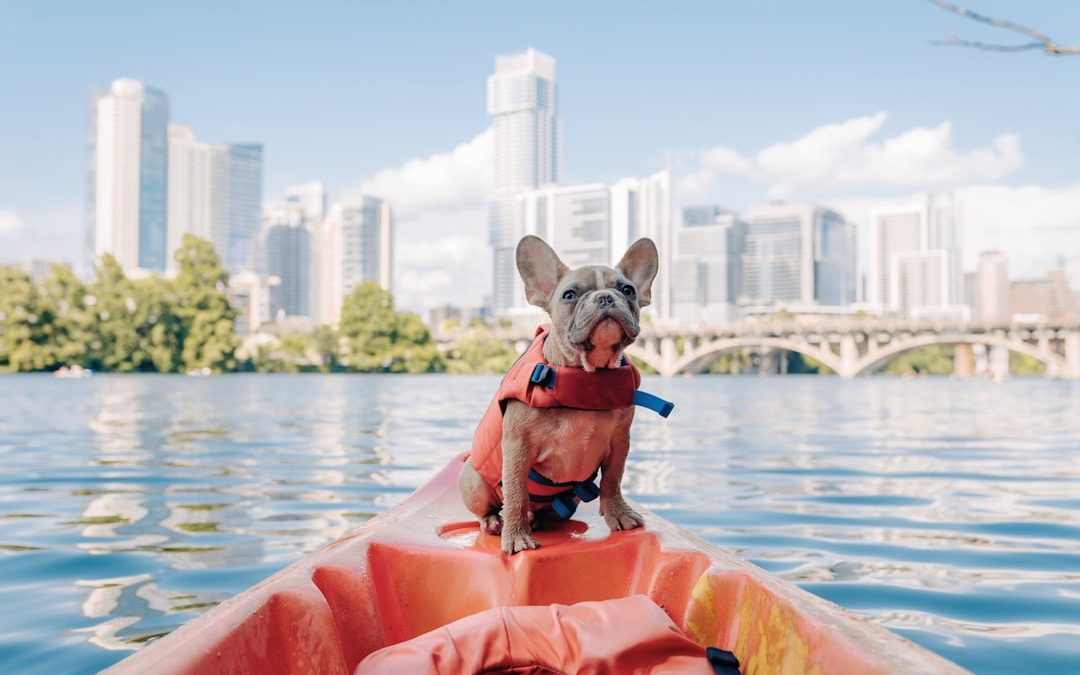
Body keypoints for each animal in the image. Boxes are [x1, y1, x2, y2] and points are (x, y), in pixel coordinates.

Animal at [455, 234, 656, 550]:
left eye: (628, 290)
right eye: (569, 295)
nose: (605, 297)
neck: (588, 374)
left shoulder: (619, 441)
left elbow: (613, 479)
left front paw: (618, 514)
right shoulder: (517, 446)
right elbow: (515, 492)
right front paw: (516, 536)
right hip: (473, 482)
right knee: (490, 507)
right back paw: (496, 522)